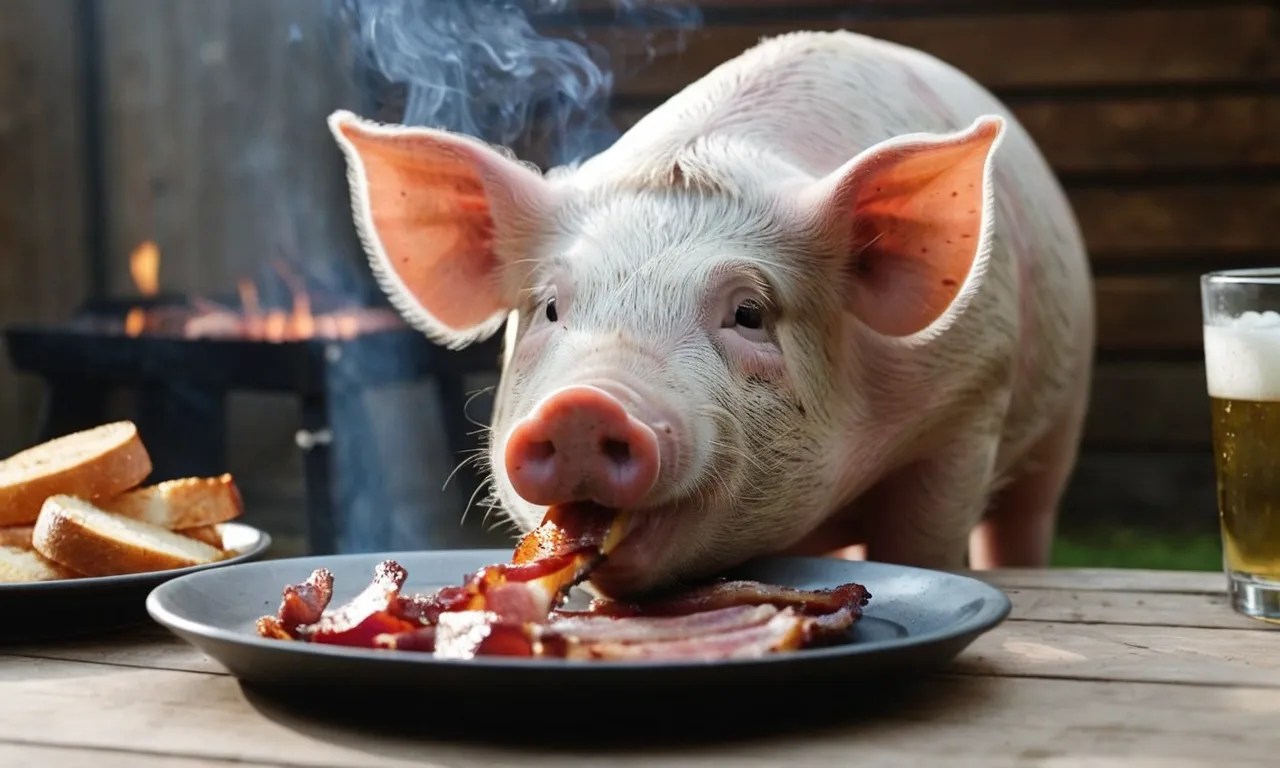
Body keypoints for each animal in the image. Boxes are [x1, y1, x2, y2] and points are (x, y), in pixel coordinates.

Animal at [327, 30, 1094, 597]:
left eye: (749, 313)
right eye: (549, 307)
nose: (583, 406)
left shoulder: (969, 400)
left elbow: (924, 545)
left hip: (1065, 407)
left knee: (1029, 513)